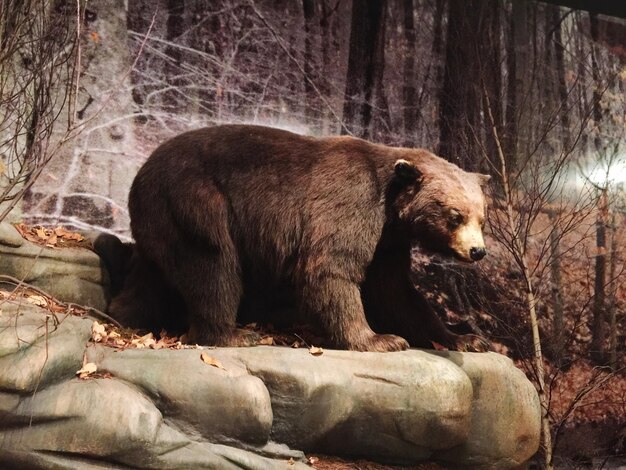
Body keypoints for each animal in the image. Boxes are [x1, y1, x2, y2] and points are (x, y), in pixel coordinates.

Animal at [111, 125, 492, 352]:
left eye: (481, 216)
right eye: (455, 215)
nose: (477, 251)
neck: (390, 206)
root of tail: (142, 172)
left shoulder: (388, 242)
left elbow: (397, 291)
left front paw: (465, 338)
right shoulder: (352, 203)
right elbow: (329, 269)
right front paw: (380, 339)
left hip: (162, 219)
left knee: (154, 272)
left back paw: (125, 313)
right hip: (196, 201)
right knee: (212, 264)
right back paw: (235, 333)